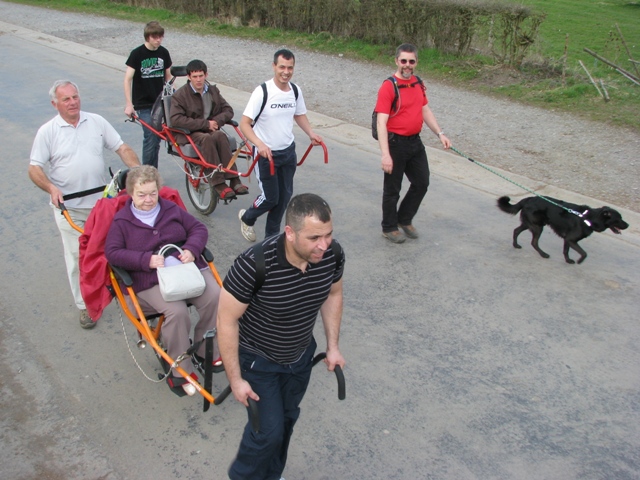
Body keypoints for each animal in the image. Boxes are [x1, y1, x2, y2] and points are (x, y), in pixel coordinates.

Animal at [498, 195, 628, 262]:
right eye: (619, 218)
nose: (628, 225)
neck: (590, 218)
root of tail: (528, 199)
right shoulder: (571, 239)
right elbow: (584, 253)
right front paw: (579, 261)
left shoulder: (568, 239)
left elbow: (566, 250)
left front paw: (568, 260)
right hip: (537, 227)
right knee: (534, 242)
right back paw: (543, 254)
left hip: (530, 223)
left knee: (516, 231)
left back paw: (516, 245)